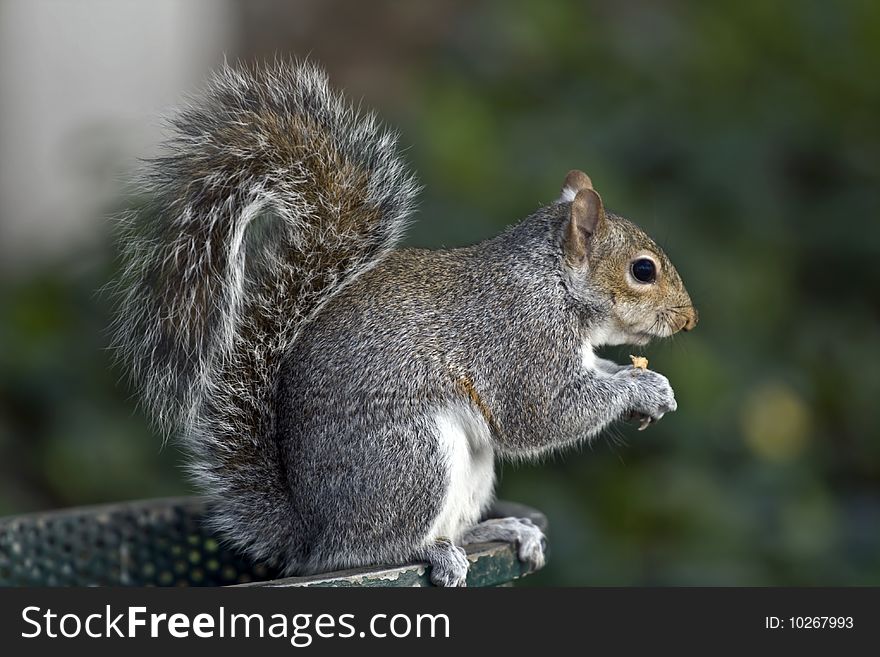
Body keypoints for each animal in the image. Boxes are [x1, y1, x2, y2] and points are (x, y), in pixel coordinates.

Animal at [113, 60, 696, 584]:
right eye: (643, 270)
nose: (689, 320)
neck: (552, 282)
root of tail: (313, 534)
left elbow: (595, 375)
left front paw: (652, 385)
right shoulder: (517, 339)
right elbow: (541, 414)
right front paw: (638, 389)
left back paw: (498, 530)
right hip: (410, 456)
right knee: (373, 550)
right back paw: (430, 551)